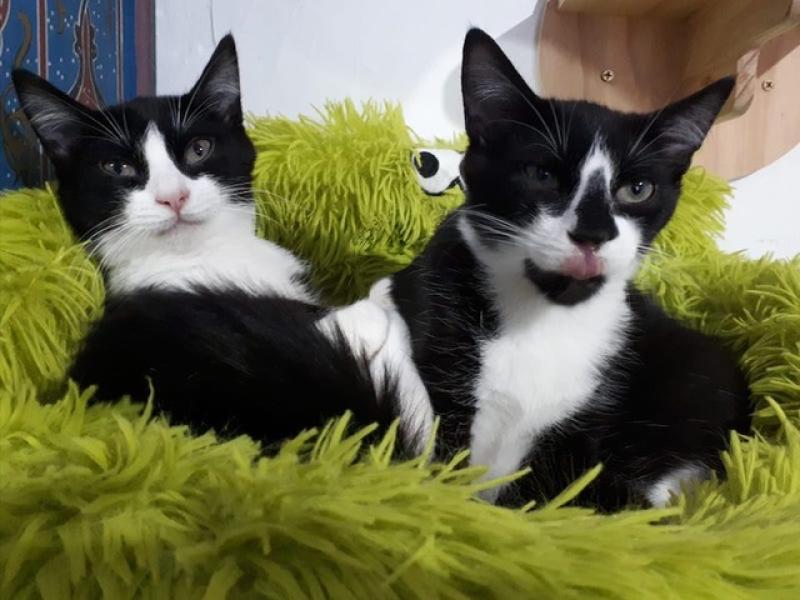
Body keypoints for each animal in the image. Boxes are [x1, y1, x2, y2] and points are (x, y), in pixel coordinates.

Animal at [379, 28, 751, 510]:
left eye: (637, 189)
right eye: (541, 174)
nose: (593, 232)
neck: (548, 310)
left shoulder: (585, 420)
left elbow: (556, 493)